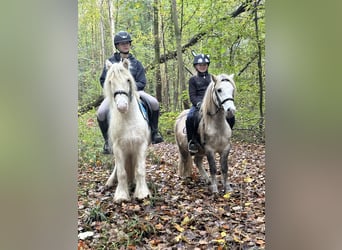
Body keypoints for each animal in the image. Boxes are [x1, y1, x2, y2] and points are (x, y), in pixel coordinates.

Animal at [101, 58, 150, 201]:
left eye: (128, 80)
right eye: (110, 82)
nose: (122, 106)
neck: (127, 118)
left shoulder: (141, 145)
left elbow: (140, 170)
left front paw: (142, 193)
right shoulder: (118, 147)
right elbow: (121, 172)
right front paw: (122, 195)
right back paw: (111, 181)